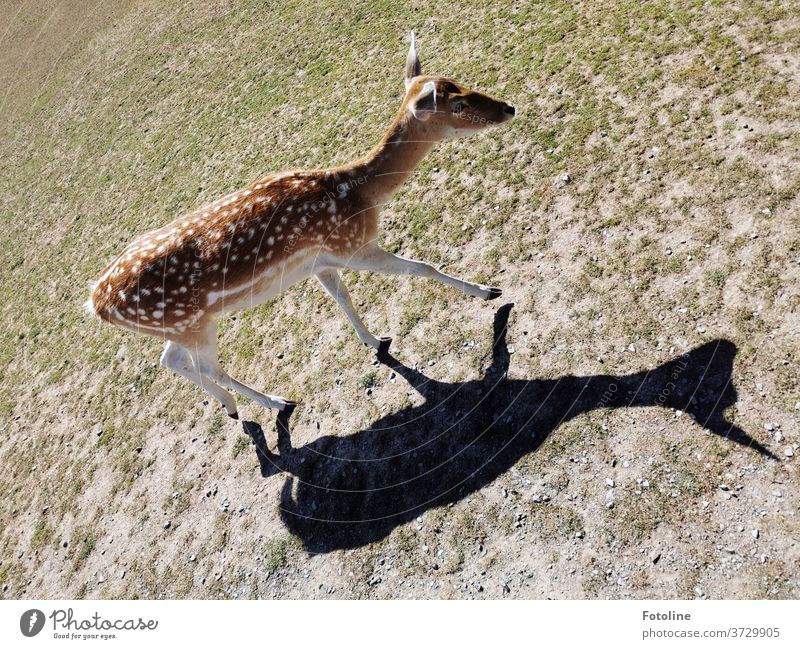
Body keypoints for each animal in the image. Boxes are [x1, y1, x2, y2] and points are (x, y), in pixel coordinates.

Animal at [86, 34, 512, 420]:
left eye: (459, 79)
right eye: (456, 104)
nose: (508, 107)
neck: (358, 193)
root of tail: (96, 303)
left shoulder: (320, 262)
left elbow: (343, 299)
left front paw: (376, 341)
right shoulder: (352, 246)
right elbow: (422, 267)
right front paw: (488, 292)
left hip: (181, 328)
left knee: (170, 360)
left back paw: (232, 406)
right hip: (193, 323)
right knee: (205, 366)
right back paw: (275, 402)